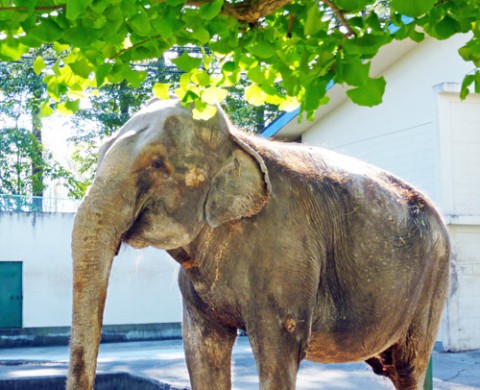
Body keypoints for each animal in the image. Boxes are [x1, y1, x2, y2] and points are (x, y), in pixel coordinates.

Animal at [66, 99, 450, 388]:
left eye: (157, 163)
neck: (238, 139)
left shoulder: (287, 251)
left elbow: (277, 351)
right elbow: (202, 352)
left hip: (434, 279)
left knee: (409, 366)